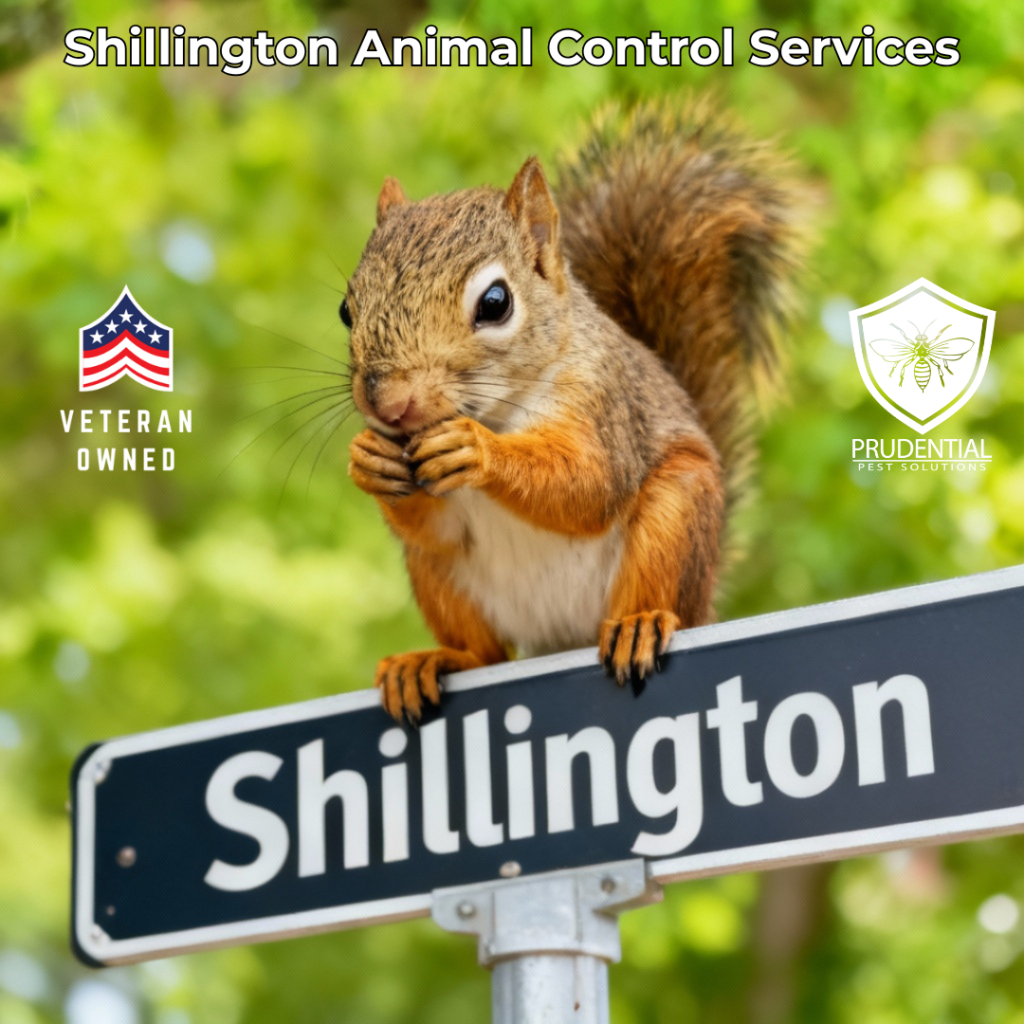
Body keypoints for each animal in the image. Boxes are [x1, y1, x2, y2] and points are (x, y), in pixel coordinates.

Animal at [343, 98, 797, 722]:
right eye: (346, 309)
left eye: (495, 303)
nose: (389, 403)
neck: (501, 410)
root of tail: (560, 641)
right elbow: (435, 525)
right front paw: (368, 460)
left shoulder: (603, 404)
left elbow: (589, 484)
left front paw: (476, 450)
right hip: (436, 573)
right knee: (485, 652)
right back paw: (434, 662)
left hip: (678, 514)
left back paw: (638, 625)